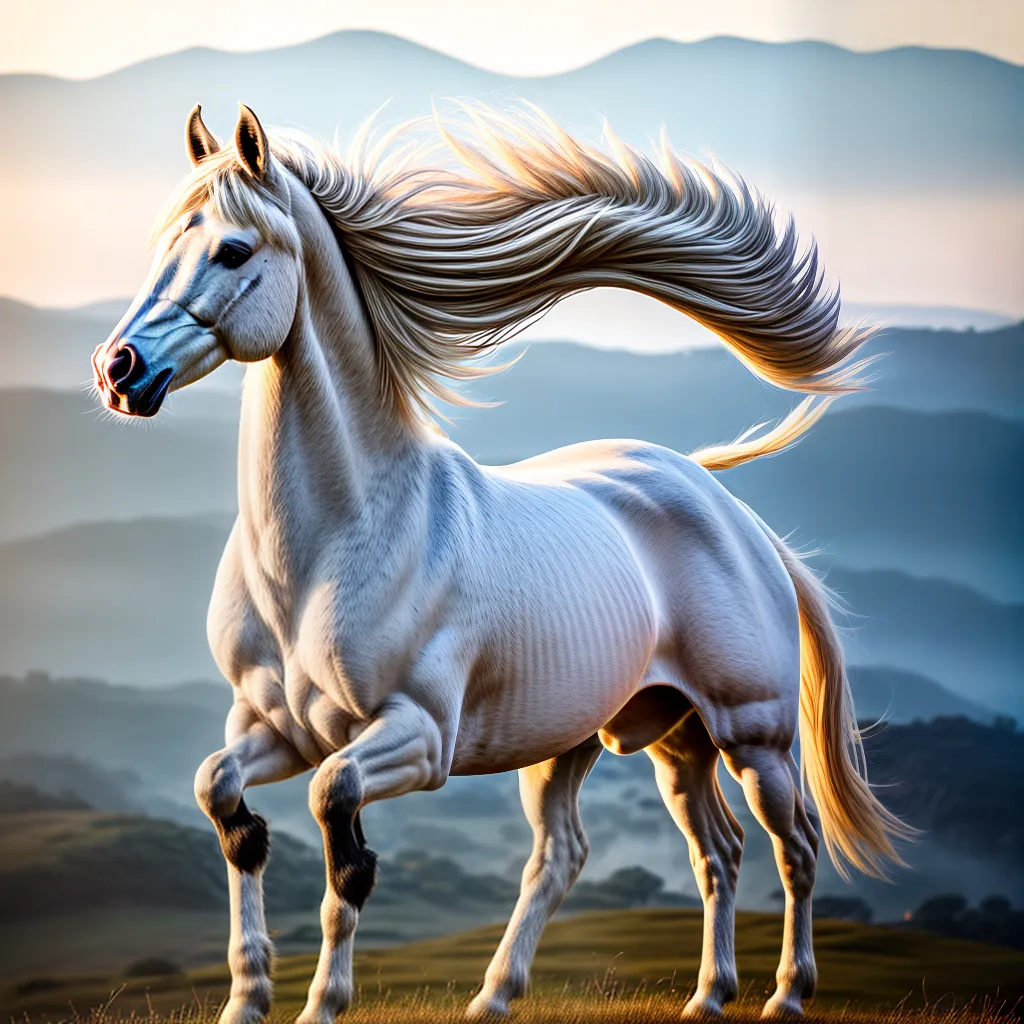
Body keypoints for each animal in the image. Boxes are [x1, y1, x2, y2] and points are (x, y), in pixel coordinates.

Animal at [92, 102, 910, 1022]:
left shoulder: (417, 737)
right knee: (659, 852)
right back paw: (637, 998)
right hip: (646, 738)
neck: (327, 552)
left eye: (233, 250)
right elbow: (223, 798)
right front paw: (247, 995)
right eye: (163, 242)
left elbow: (337, 823)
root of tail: (740, 518)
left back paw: (784, 997)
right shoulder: (271, 726)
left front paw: (323, 999)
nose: (118, 370)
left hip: (752, 732)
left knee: (792, 843)